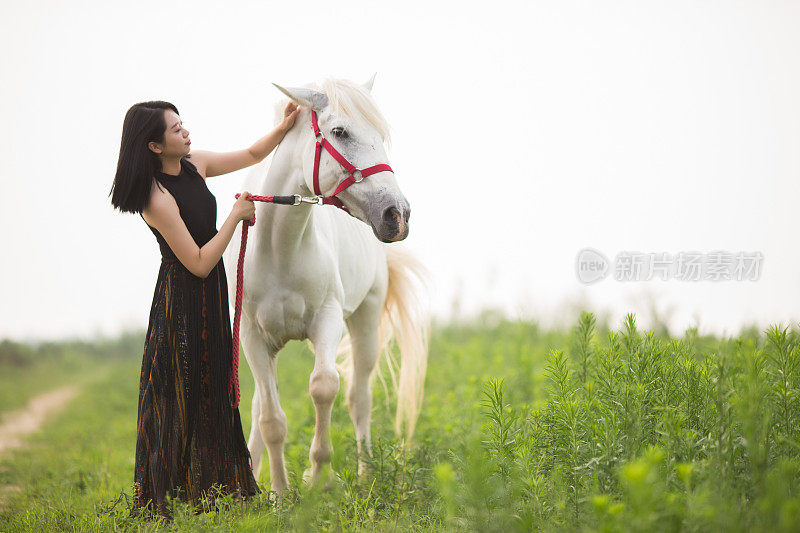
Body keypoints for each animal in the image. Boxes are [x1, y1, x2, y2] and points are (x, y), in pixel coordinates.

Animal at [225, 75, 432, 490]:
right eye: (340, 132)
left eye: (380, 136)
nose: (397, 214)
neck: (280, 249)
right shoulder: (253, 338)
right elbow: (270, 419)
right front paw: (279, 492)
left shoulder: (328, 320)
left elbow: (324, 386)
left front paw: (318, 476)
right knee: (259, 406)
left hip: (366, 321)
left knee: (358, 397)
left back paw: (366, 473)